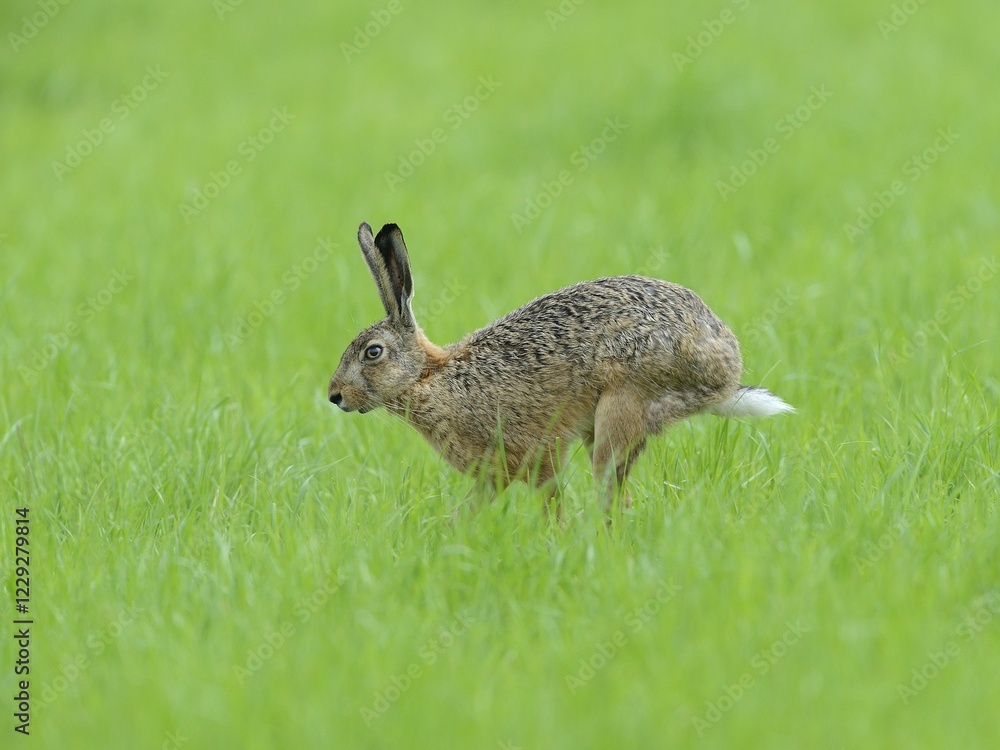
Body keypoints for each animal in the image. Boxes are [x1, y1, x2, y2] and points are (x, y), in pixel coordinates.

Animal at [328, 222, 794, 511]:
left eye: (373, 352)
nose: (334, 396)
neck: (432, 377)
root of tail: (724, 368)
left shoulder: (538, 454)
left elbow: (552, 503)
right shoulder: (491, 476)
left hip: (623, 404)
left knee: (611, 492)